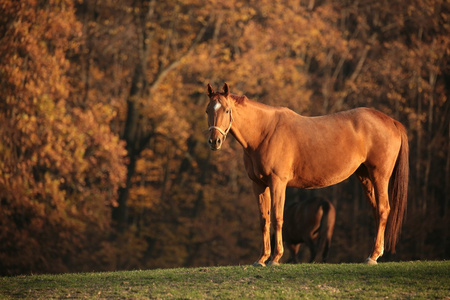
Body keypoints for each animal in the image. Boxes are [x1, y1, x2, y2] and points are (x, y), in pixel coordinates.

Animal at [206, 83, 410, 266]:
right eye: (208, 110)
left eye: (226, 110)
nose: (214, 141)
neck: (264, 133)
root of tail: (392, 122)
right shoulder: (258, 184)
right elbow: (264, 219)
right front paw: (262, 259)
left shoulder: (277, 182)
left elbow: (277, 218)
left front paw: (275, 258)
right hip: (365, 176)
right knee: (377, 211)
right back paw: (374, 253)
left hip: (379, 176)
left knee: (383, 209)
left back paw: (373, 257)